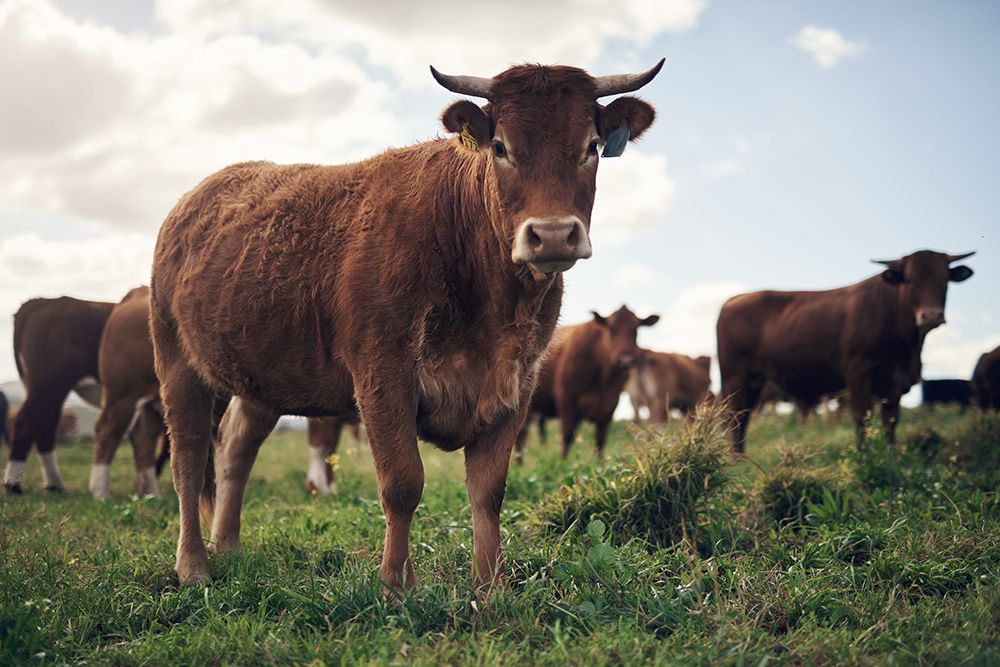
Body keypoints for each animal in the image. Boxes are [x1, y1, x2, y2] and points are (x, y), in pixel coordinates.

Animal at [517, 307, 659, 462]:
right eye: (612, 329)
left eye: (636, 330)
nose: (625, 360)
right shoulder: (566, 400)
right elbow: (567, 435)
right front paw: (563, 462)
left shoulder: (610, 406)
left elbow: (600, 439)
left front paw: (599, 462)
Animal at [717, 250, 975, 453]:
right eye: (910, 281)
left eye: (944, 280)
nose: (931, 316)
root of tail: (734, 300)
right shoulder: (858, 370)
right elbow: (861, 415)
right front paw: (863, 455)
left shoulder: (894, 380)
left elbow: (890, 419)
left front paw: (892, 455)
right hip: (735, 377)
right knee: (734, 416)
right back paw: (736, 460)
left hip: (754, 380)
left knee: (743, 417)